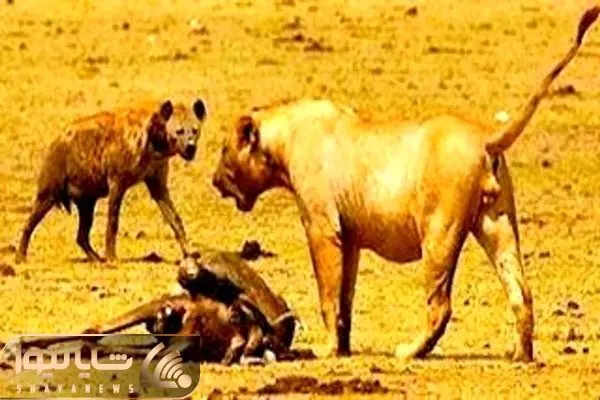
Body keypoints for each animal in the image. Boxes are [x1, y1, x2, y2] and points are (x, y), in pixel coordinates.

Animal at [212, 7, 599, 361]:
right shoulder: (350, 238)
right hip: (497, 225)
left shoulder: (322, 228)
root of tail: (485, 138)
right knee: (521, 292)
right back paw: (520, 355)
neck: (284, 135)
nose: (214, 181)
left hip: (439, 232)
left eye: (223, 150)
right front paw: (343, 349)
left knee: (440, 305)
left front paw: (326, 350)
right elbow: (345, 299)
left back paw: (411, 351)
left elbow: (327, 295)